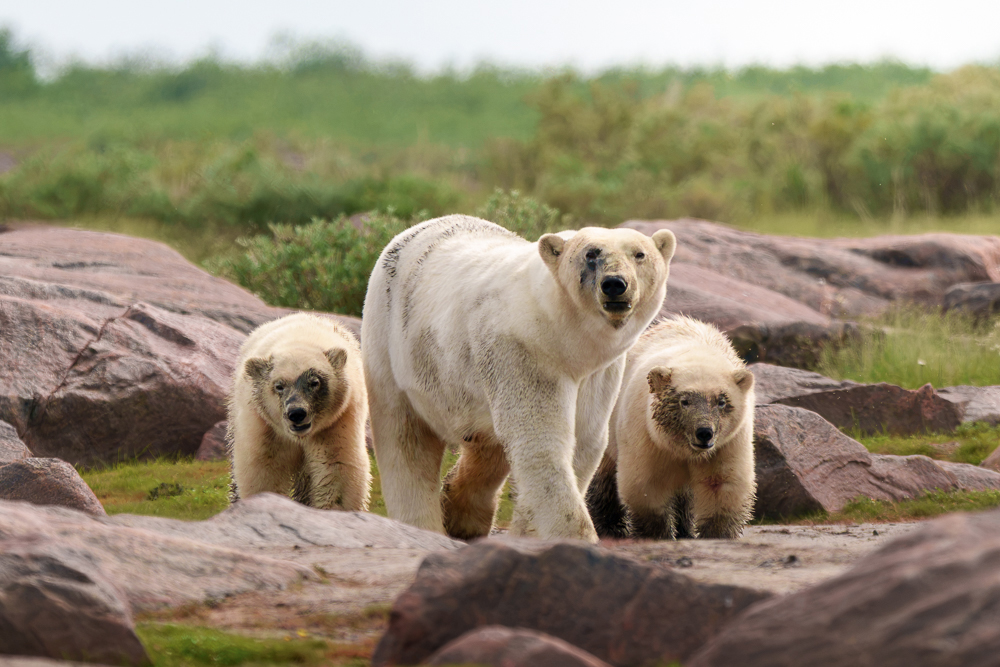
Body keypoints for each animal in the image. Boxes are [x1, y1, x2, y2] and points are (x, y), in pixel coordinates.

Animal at [227, 312, 371, 511]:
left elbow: (336, 469)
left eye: (314, 382)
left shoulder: (338, 420)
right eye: (279, 386)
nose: (296, 413)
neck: (300, 337)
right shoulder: (261, 423)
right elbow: (263, 469)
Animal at [361, 214, 676, 542]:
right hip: (391, 340)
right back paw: (422, 525)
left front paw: (529, 531)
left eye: (639, 254)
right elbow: (540, 442)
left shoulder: (599, 372)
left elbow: (585, 438)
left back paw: (461, 514)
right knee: (405, 438)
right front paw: (573, 537)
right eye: (591, 254)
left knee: (486, 448)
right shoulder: (523, 352)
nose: (615, 284)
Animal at [586, 315, 756, 540]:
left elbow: (721, 484)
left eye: (721, 401)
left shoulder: (728, 443)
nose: (704, 433)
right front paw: (658, 534)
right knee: (603, 472)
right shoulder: (646, 434)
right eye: (684, 401)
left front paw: (717, 535)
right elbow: (646, 484)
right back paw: (610, 527)